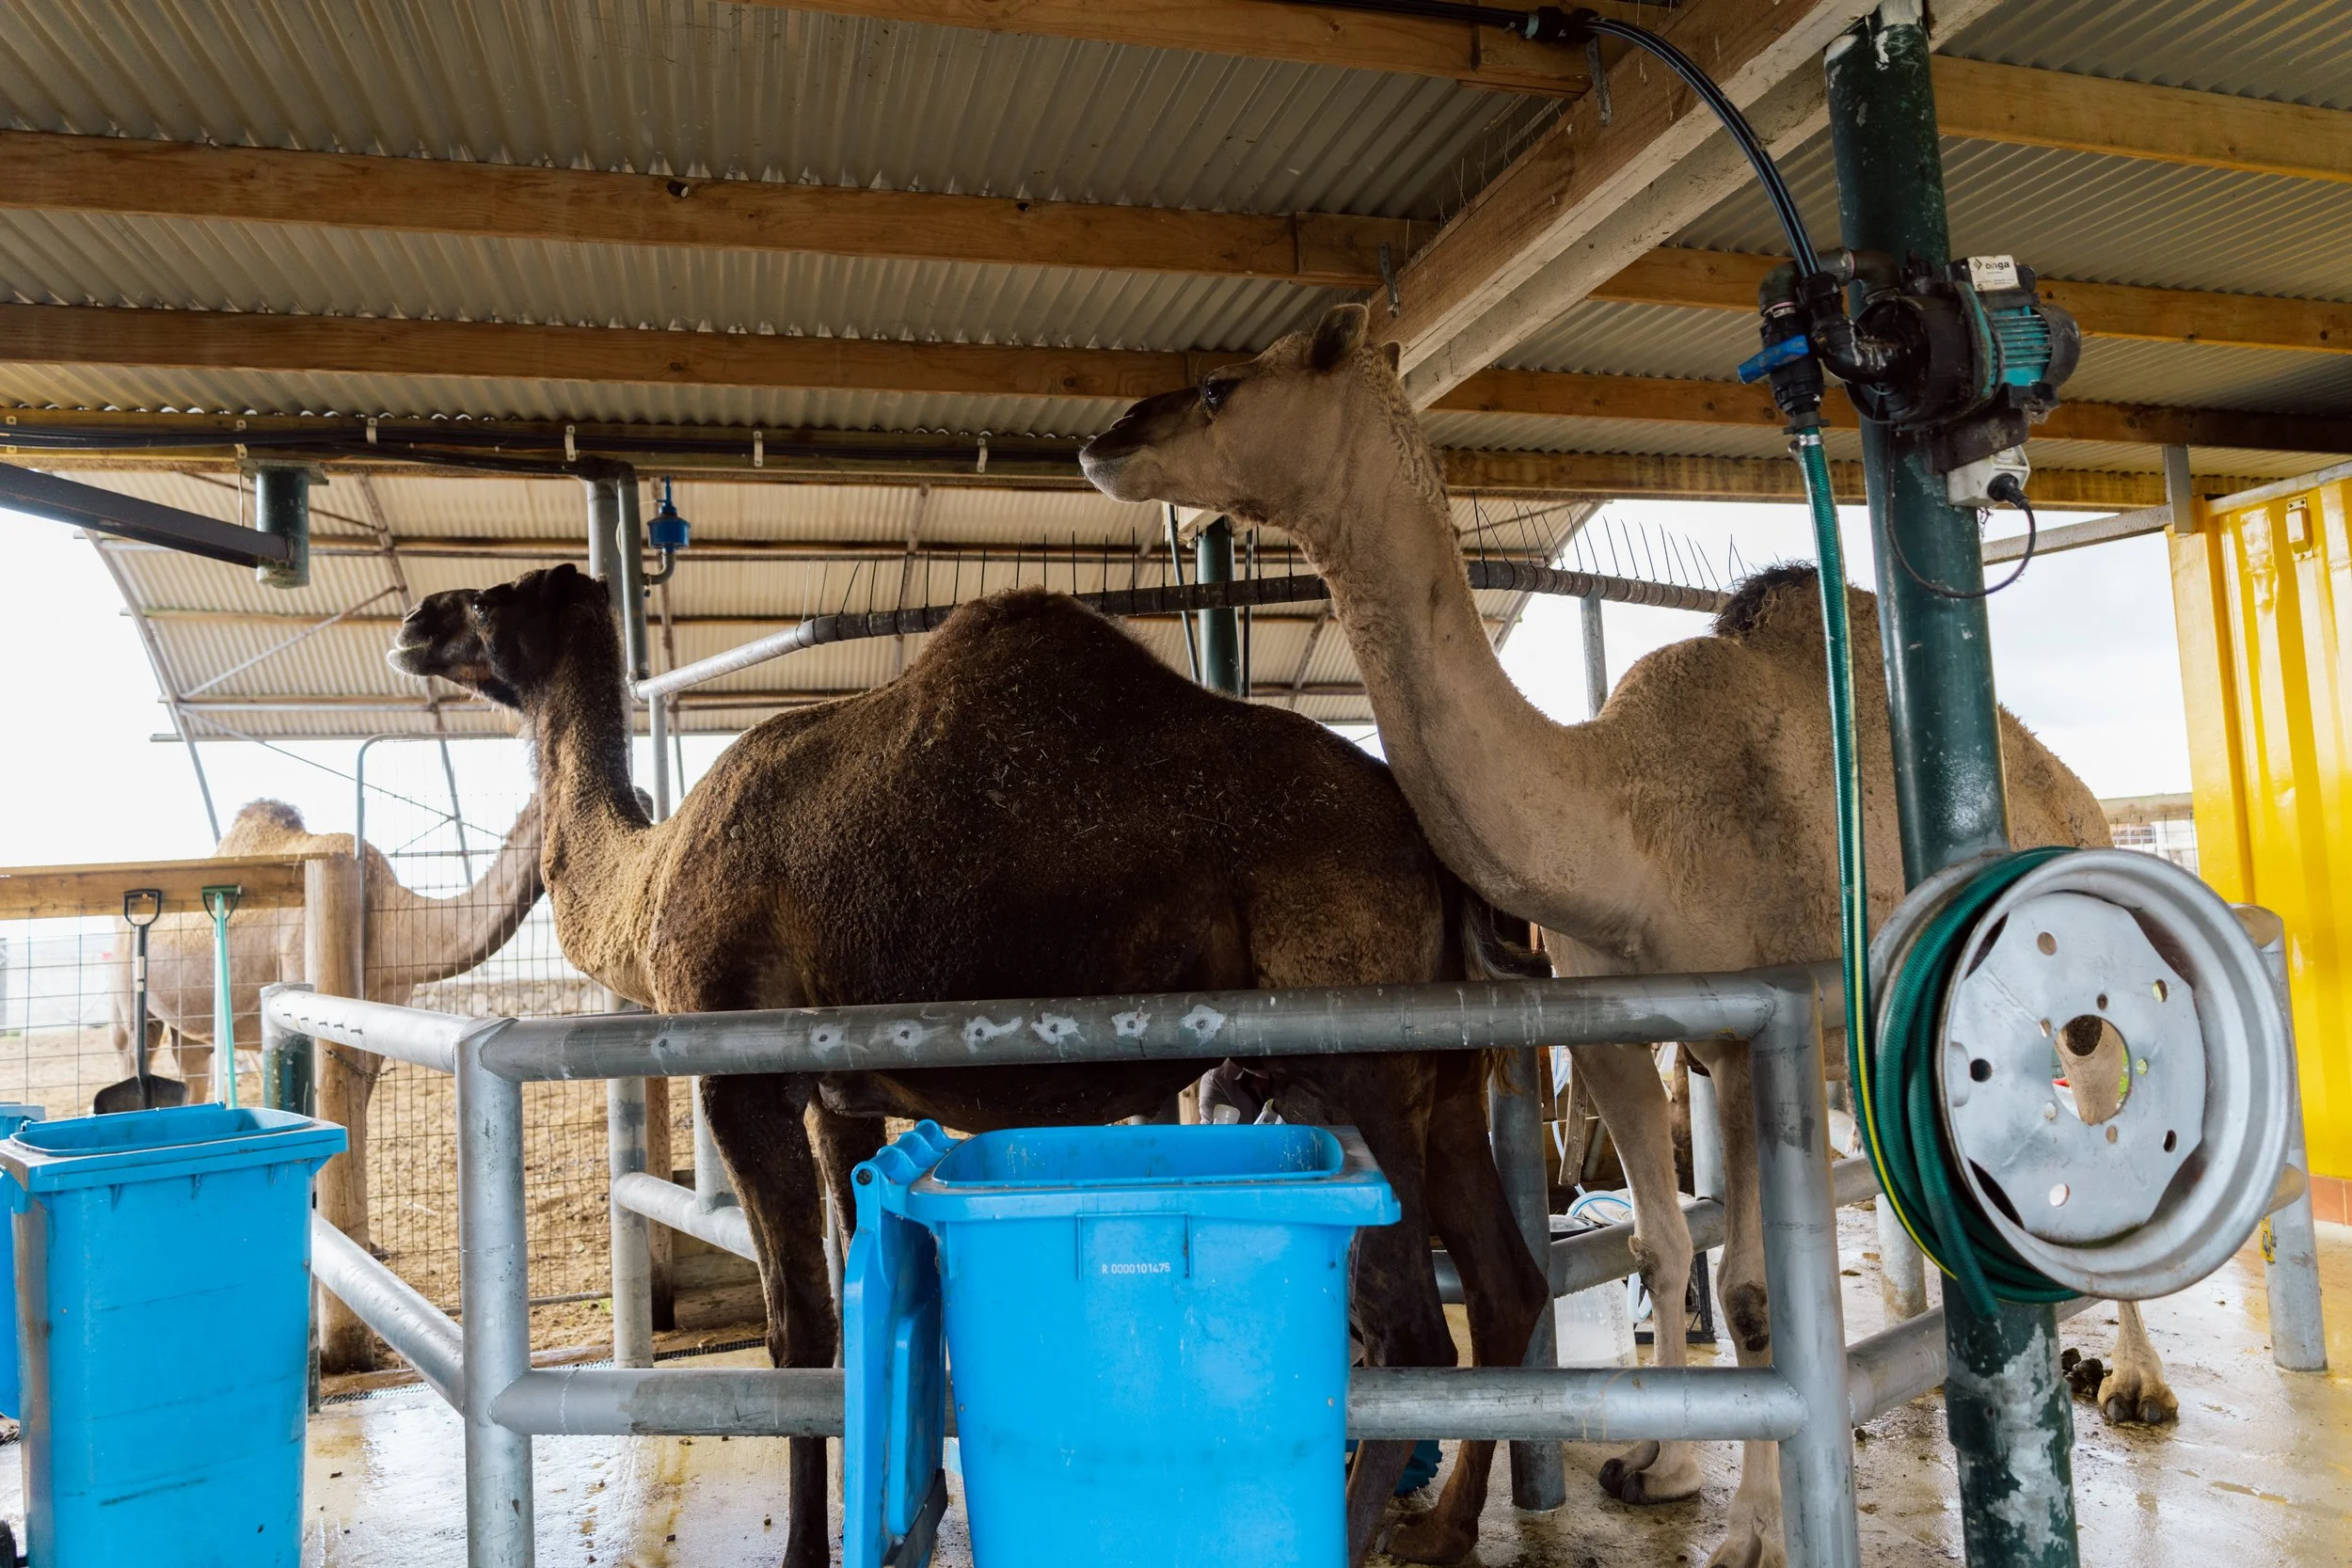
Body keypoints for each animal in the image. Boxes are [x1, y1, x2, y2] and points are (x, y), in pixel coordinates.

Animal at [387, 562, 1553, 1568]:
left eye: (488, 602)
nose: (412, 620)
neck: (647, 881)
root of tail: (1433, 854)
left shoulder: (739, 1073)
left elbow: (797, 1329)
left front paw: (805, 1549)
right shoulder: (835, 1095)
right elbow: (858, 1287)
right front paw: (912, 1507)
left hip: (1353, 1055)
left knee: (1408, 1325)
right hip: (1442, 1077)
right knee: (1505, 1284)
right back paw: (1443, 1527)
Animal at [1080, 300, 2177, 1568]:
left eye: (1221, 386)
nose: (1107, 438)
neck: (1630, 819)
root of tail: (2078, 797)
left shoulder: (1761, 1034)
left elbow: (1753, 1293)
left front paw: (1754, 1531)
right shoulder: (1617, 1031)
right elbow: (1660, 1246)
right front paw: (1657, 1463)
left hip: (2083, 977)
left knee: (2104, 1133)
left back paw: (2135, 1386)